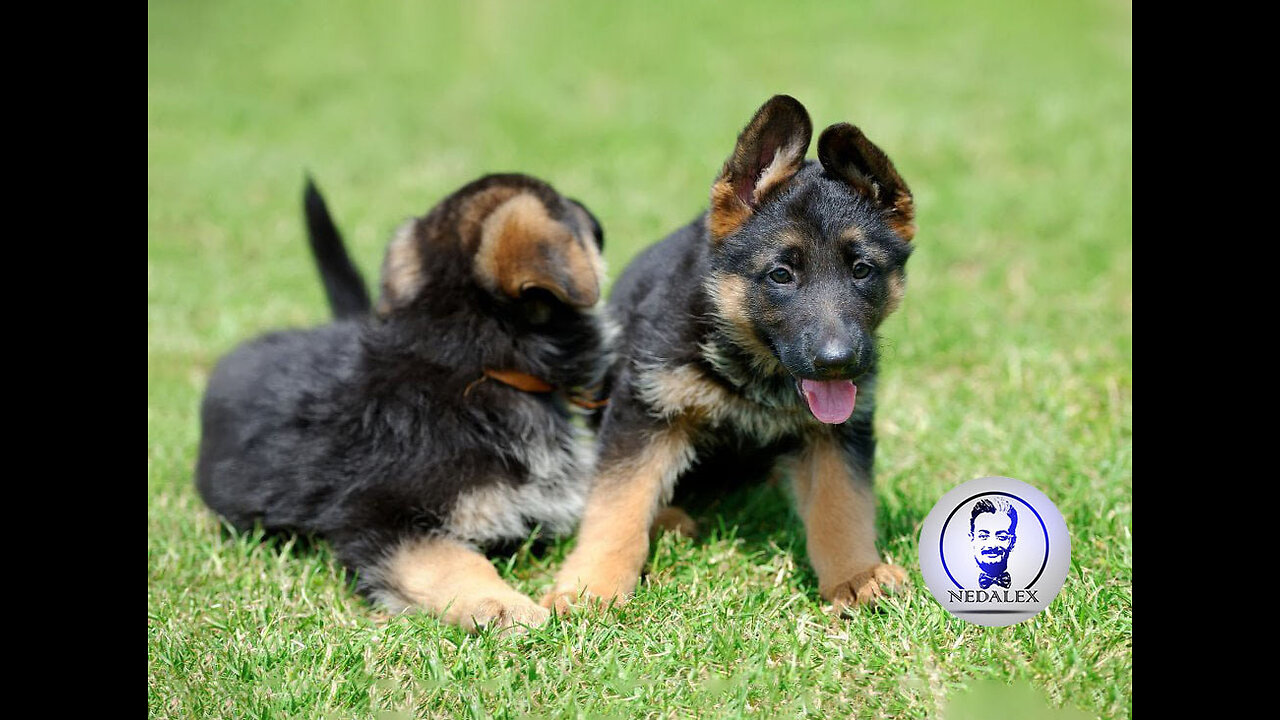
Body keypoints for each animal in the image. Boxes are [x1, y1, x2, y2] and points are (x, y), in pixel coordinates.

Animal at [545, 94, 916, 609]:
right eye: (781, 275)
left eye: (861, 269)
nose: (837, 363)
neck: (753, 366)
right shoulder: (645, 411)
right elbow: (618, 503)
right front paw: (593, 586)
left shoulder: (837, 435)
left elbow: (842, 506)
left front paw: (856, 574)